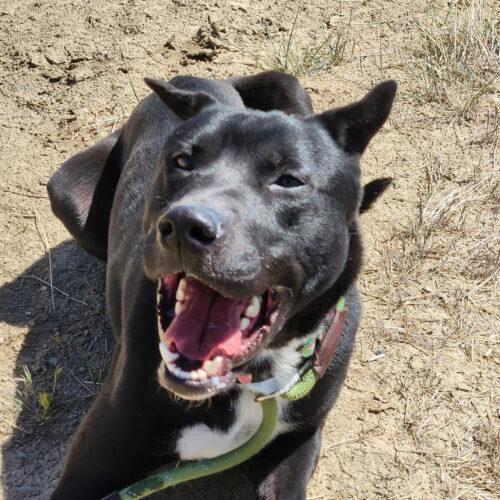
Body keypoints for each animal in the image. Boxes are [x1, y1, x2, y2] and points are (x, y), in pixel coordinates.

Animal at [47, 71, 398, 500]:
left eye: (289, 181)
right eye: (182, 161)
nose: (185, 225)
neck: (250, 380)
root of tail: (196, 77)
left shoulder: (295, 441)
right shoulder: (93, 461)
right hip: (67, 194)